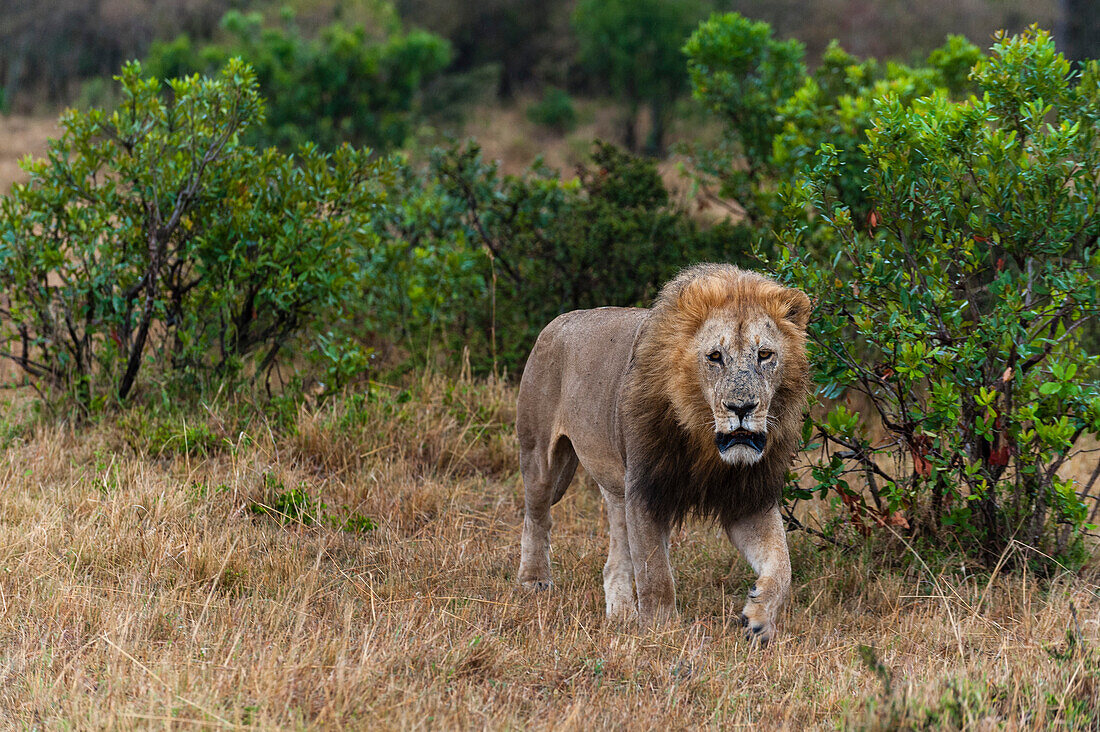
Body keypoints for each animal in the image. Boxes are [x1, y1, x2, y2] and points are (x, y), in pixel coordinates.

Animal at [512, 263, 809, 638]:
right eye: (715, 357)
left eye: (765, 354)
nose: (741, 407)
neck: (704, 440)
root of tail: (557, 321)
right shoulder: (646, 491)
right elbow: (655, 575)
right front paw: (661, 633)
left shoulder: (748, 499)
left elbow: (782, 566)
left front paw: (759, 619)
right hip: (540, 458)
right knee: (537, 518)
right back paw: (534, 581)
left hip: (616, 489)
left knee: (614, 561)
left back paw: (621, 614)